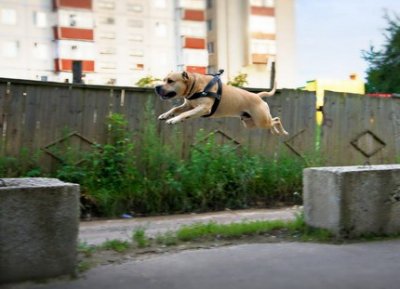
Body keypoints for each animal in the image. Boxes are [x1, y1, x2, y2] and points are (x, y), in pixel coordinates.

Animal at [153, 71, 288, 136]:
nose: (156, 87)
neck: (195, 85)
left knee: (277, 120)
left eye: (170, 81)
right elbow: (175, 109)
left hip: (261, 121)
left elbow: (184, 114)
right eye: (164, 80)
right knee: (273, 121)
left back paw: (282, 132)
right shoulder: (188, 105)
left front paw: (174, 120)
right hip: (251, 123)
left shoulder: (203, 108)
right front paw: (165, 115)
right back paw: (275, 132)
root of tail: (257, 96)